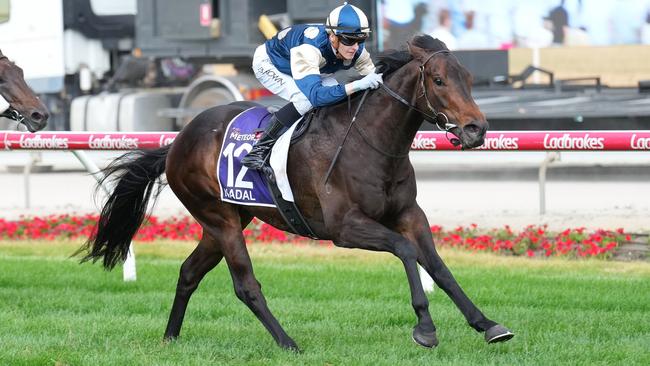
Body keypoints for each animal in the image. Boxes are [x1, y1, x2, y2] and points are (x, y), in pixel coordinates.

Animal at [77, 35, 512, 350]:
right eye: (438, 80)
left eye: (468, 79)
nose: (477, 129)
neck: (370, 141)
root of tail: (177, 142)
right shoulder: (344, 228)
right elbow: (406, 251)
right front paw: (425, 327)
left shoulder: (408, 214)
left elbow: (437, 265)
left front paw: (487, 324)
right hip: (220, 219)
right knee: (246, 286)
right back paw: (288, 342)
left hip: (227, 219)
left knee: (188, 272)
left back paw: (170, 337)